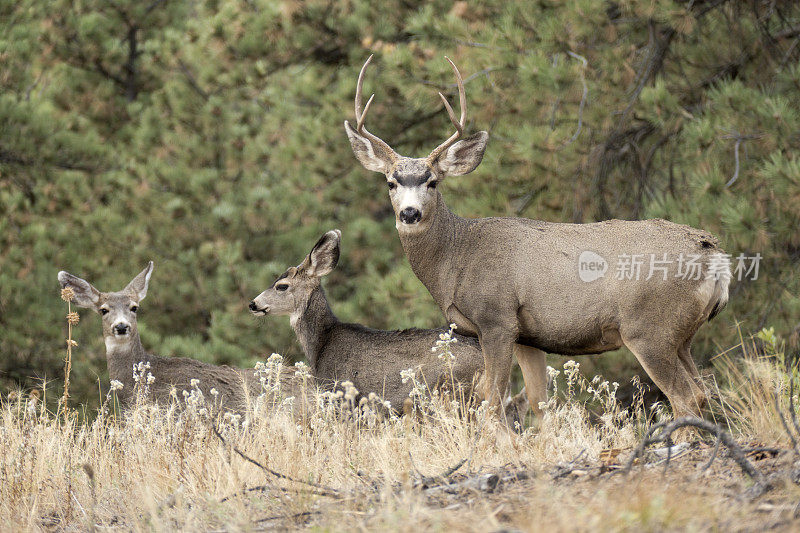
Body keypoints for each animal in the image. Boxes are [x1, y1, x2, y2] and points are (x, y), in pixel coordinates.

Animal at [344, 56, 732, 422]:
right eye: (391, 182)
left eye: (433, 181)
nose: (410, 213)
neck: (458, 256)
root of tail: (715, 255)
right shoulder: (527, 335)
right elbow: (538, 402)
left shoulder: (497, 318)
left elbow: (492, 399)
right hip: (683, 335)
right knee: (703, 392)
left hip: (648, 329)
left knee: (685, 397)